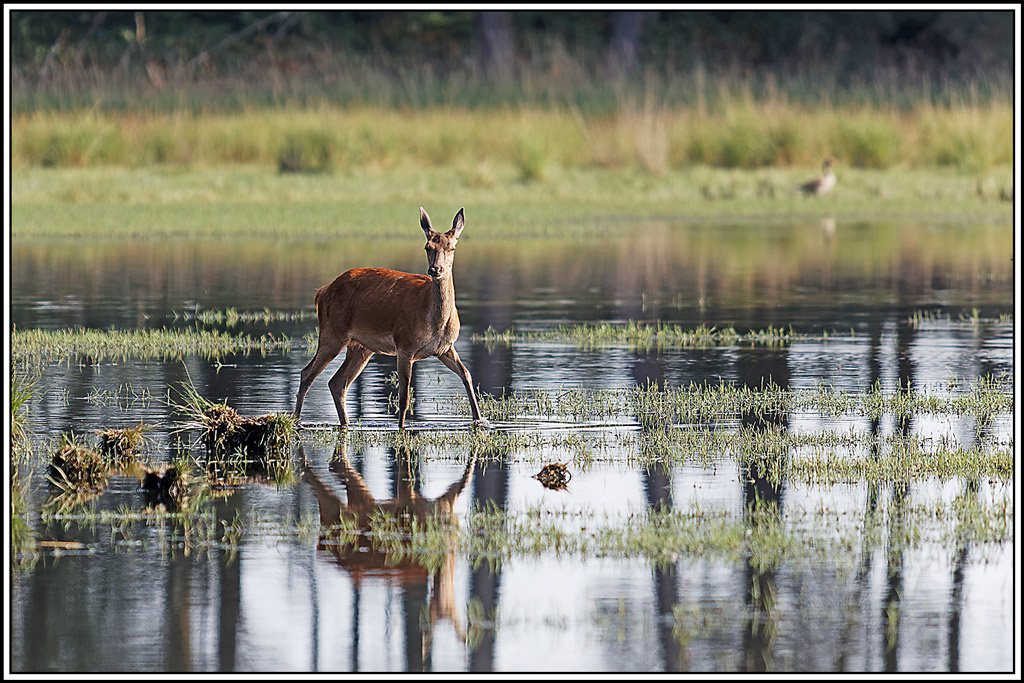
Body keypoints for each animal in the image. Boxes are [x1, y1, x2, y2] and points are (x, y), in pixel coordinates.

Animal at [294, 206, 488, 430]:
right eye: (427, 247)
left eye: (452, 248)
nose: (435, 269)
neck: (435, 323)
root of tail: (322, 292)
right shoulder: (404, 345)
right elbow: (403, 397)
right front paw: (401, 428)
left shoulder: (445, 348)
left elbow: (467, 375)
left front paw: (481, 422)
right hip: (332, 333)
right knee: (307, 373)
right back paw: (296, 422)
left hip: (361, 347)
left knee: (337, 382)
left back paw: (344, 423)